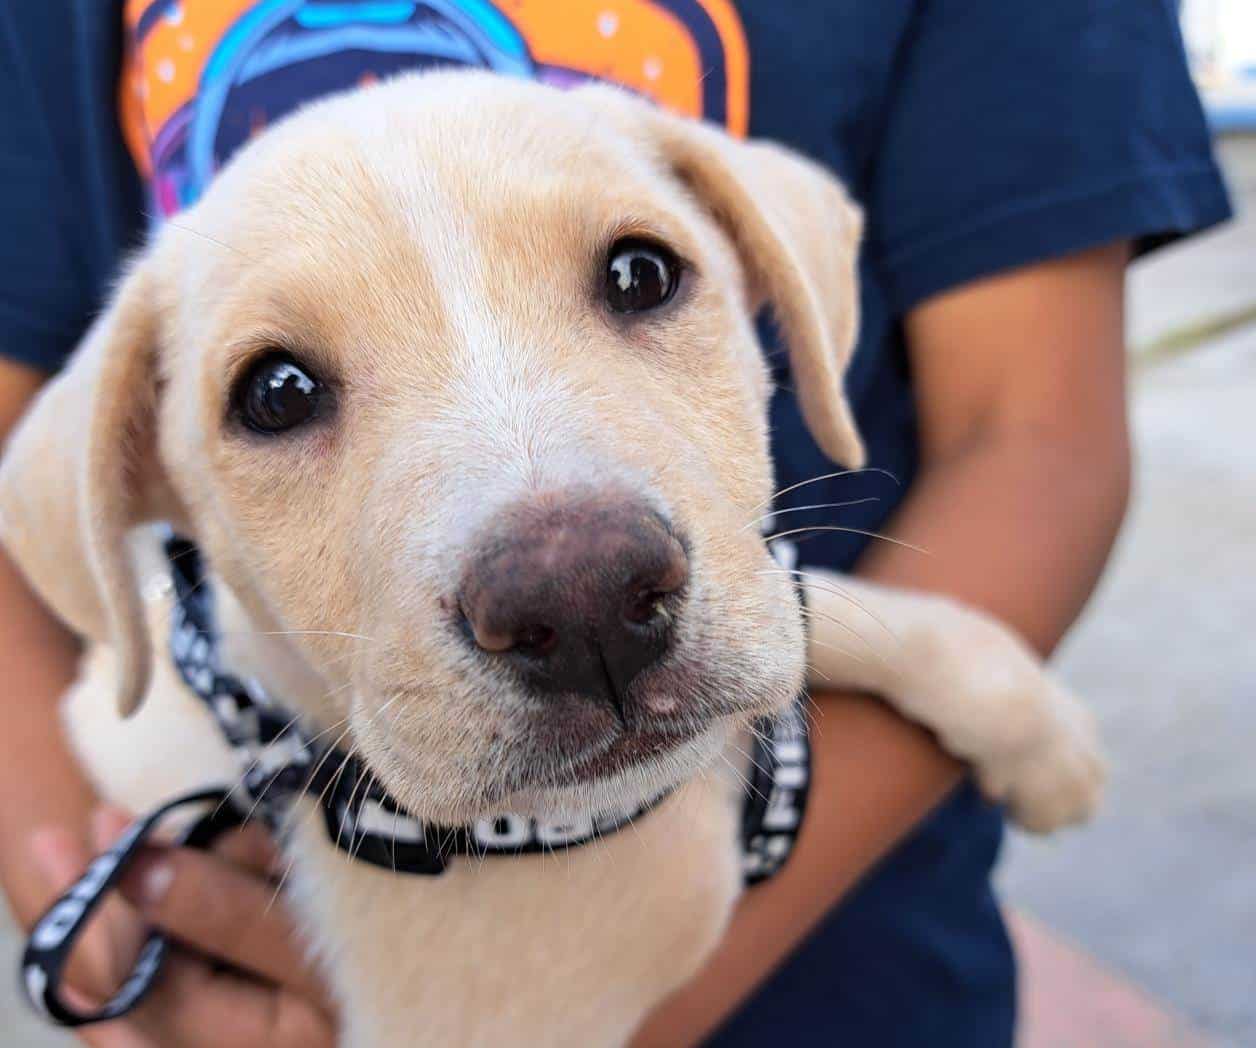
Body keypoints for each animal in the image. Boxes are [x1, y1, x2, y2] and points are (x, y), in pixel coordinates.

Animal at [0, 73, 1100, 1045]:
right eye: (275, 393)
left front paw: (1039, 739)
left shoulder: (753, 594)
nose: (585, 605)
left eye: (640, 273)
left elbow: (816, 609)